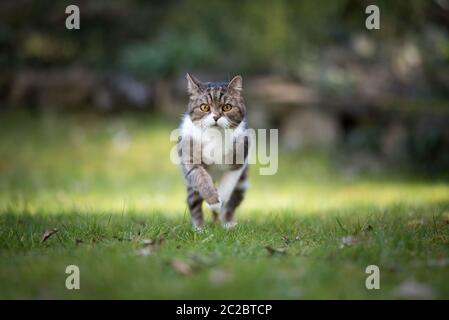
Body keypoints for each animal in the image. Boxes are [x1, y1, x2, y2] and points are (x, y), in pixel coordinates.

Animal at [178, 74, 248, 230]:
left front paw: (218, 203)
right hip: (191, 187)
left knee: (231, 204)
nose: (216, 117)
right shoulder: (190, 157)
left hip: (242, 184)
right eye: (204, 107)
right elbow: (201, 177)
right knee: (194, 202)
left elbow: (227, 184)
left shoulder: (240, 160)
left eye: (227, 107)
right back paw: (199, 228)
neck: (215, 136)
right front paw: (214, 201)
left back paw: (228, 223)